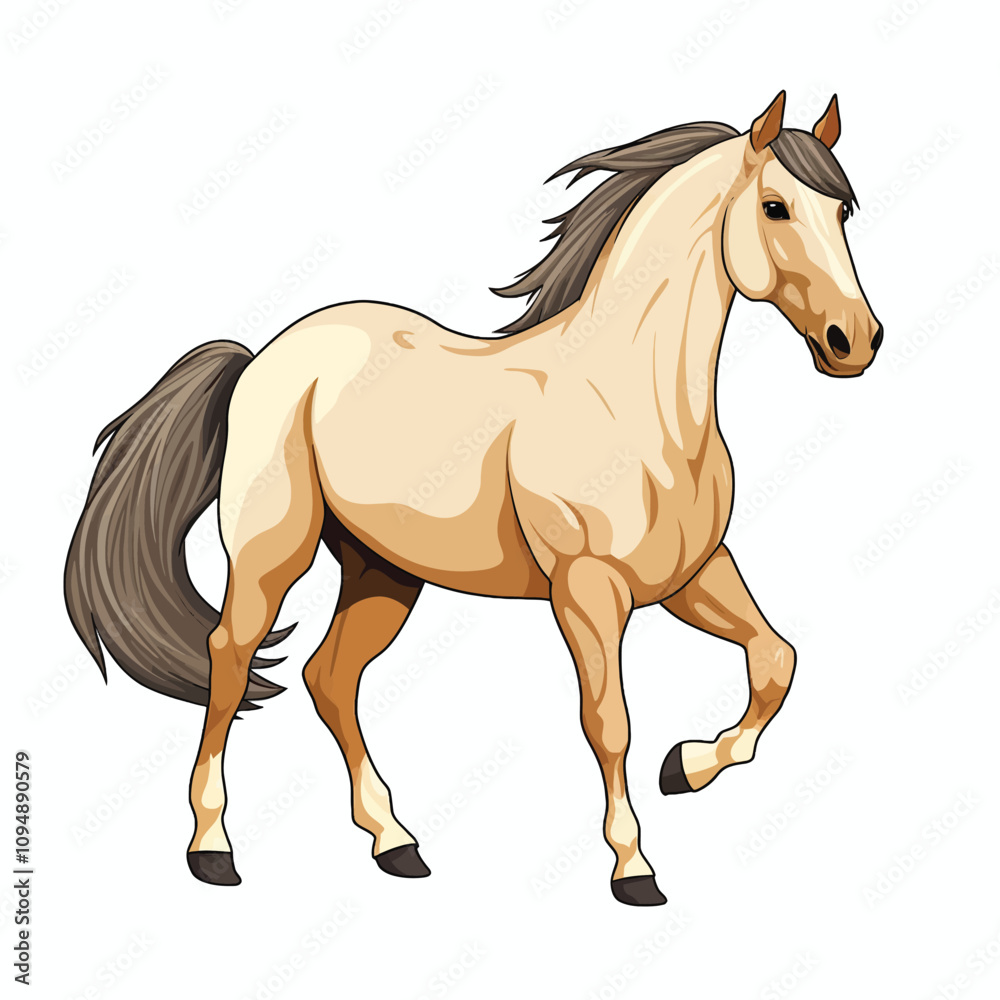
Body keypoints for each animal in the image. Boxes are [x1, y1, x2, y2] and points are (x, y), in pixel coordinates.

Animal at [64, 91, 882, 906]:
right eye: (775, 206)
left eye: (842, 209)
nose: (855, 342)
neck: (636, 402)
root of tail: (262, 356)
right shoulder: (588, 590)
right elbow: (609, 721)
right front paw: (634, 867)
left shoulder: (693, 573)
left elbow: (776, 660)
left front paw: (686, 767)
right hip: (272, 556)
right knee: (230, 660)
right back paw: (213, 848)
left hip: (383, 572)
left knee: (329, 677)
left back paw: (395, 842)